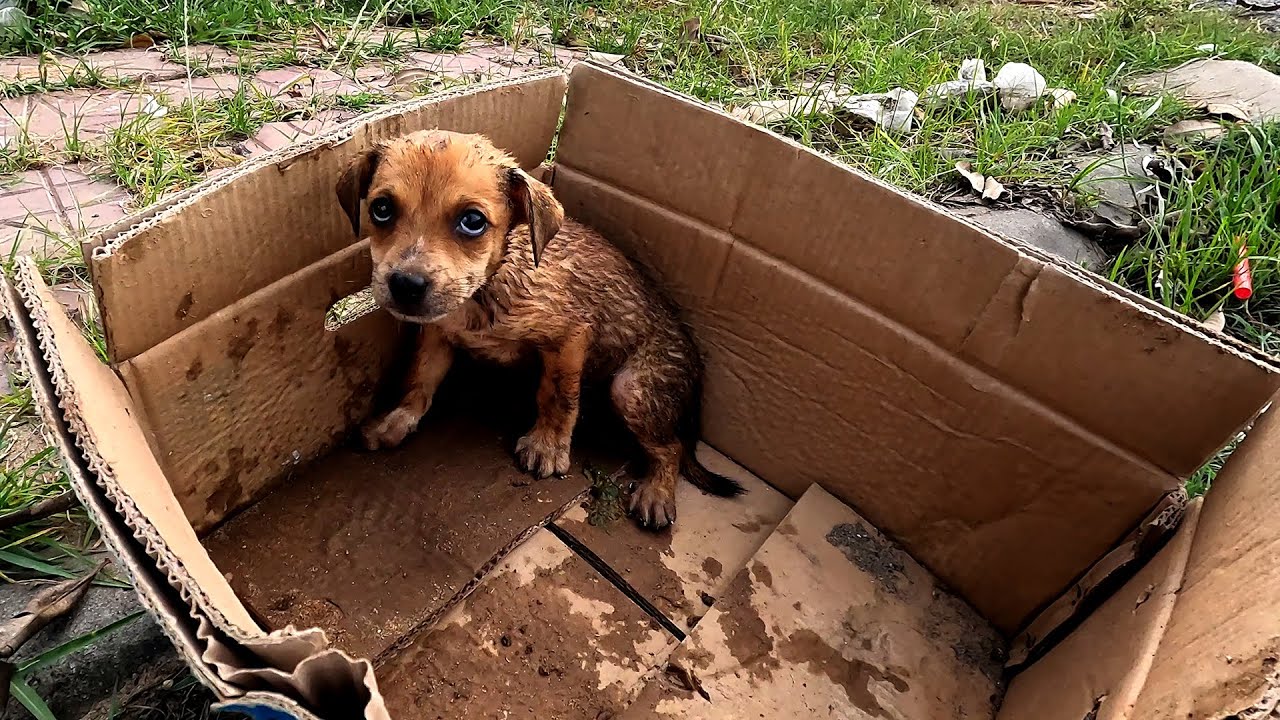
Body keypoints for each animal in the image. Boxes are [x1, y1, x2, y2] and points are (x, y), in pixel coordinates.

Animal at [335, 128, 747, 527]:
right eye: (382, 209)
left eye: (473, 221)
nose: (405, 285)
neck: (483, 290)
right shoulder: (437, 333)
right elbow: (419, 379)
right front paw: (397, 419)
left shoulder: (569, 337)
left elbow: (557, 395)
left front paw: (547, 446)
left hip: (632, 388)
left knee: (671, 447)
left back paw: (657, 492)